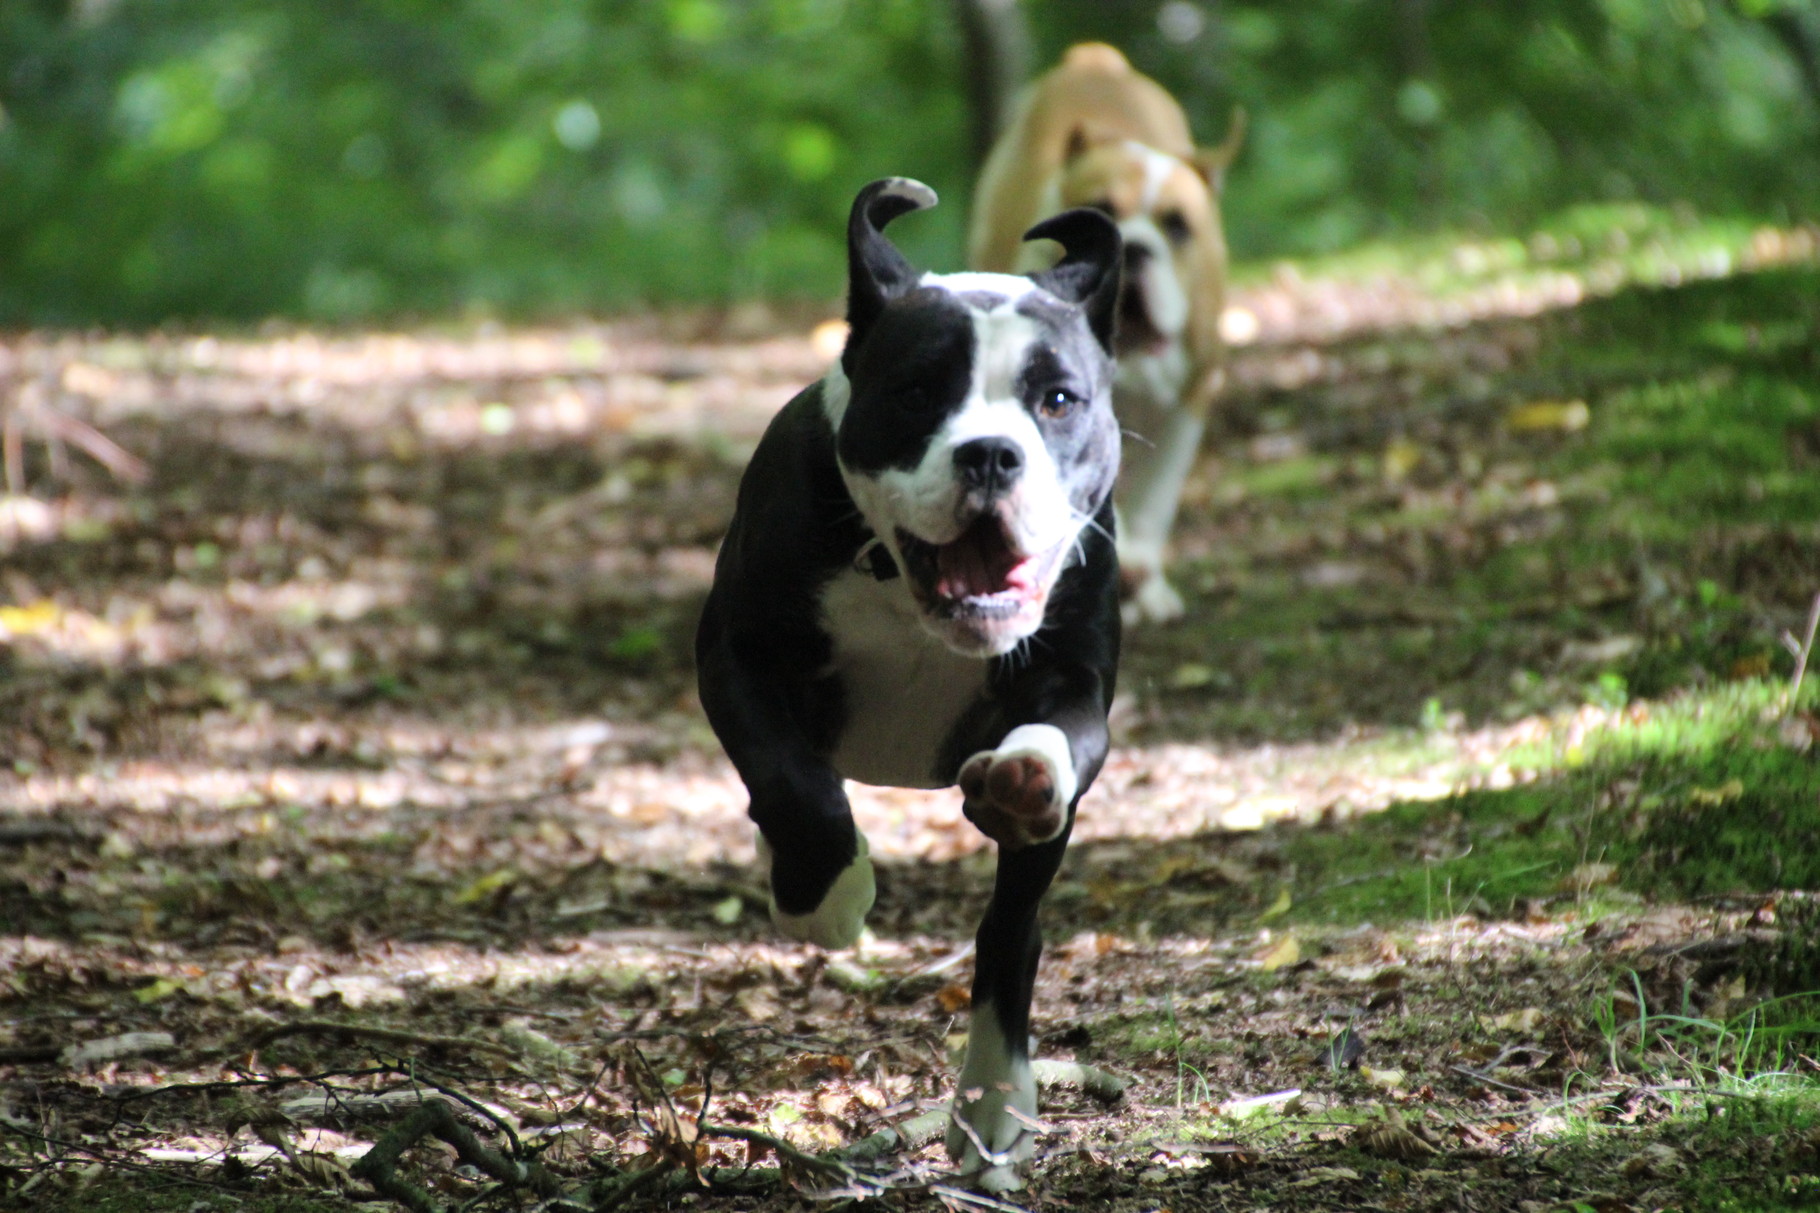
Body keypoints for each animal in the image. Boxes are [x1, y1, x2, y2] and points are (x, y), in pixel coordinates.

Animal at [695, 179, 1121, 1187]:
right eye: (918, 389)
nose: (991, 453)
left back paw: (995, 1101)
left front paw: (1024, 777)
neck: (899, 579)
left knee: (1012, 929)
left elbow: (1053, 754)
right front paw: (829, 893)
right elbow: (797, 789)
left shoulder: (1078, 675)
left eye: (1058, 399)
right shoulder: (736, 656)